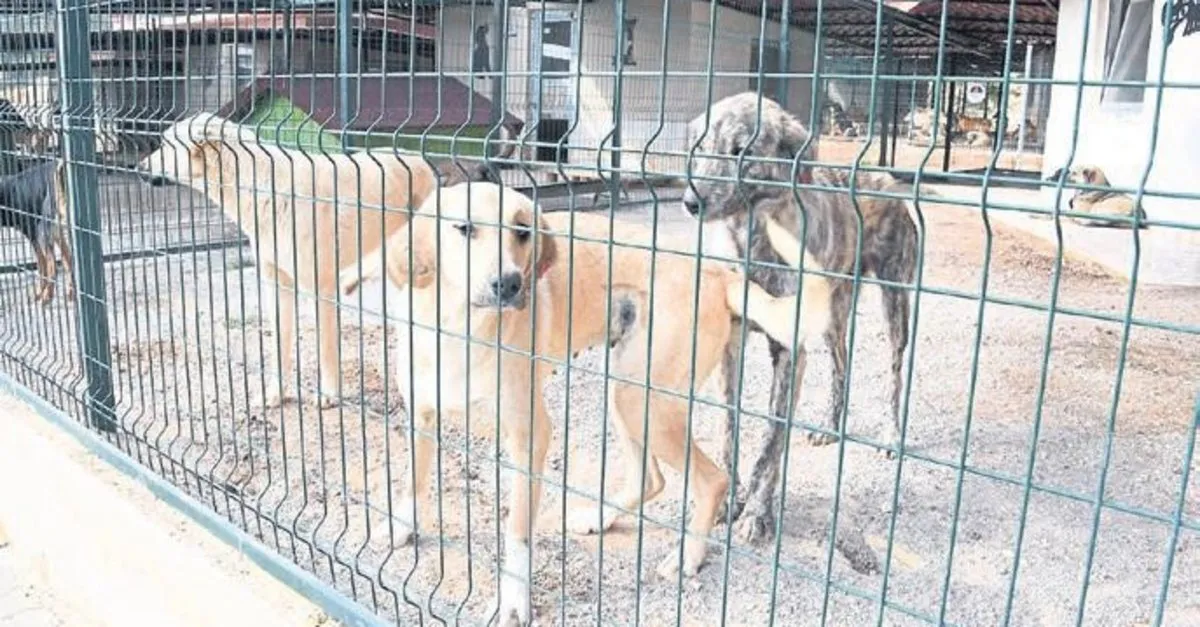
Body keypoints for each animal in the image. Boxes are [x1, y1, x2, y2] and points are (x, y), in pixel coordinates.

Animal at [0, 158, 73, 305]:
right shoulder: (52, 233)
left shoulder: (34, 234)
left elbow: (42, 266)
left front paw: (39, 292)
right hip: (54, 231)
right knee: (68, 259)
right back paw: (70, 293)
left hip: (43, 231)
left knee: (53, 266)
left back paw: (47, 296)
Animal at [133, 111, 441, 405]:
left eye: (166, 145)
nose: (138, 168)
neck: (259, 188)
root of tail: (422, 160)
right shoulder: (276, 284)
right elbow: (279, 345)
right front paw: (275, 394)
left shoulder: (321, 289)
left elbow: (326, 349)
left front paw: (329, 394)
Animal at [333, 180, 830, 624]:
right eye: (463, 229)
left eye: (522, 231)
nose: (509, 284)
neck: (459, 329)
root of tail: (719, 271)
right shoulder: (421, 414)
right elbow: (413, 482)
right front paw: (401, 527)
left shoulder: (530, 437)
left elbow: (517, 531)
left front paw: (513, 599)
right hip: (627, 392)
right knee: (650, 478)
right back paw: (600, 518)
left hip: (642, 399)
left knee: (712, 479)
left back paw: (687, 557)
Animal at [686, 90, 916, 542]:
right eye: (701, 147)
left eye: (741, 151)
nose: (690, 202)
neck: (753, 239)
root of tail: (884, 176)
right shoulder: (730, 344)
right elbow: (729, 428)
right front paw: (729, 499)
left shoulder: (790, 352)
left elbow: (772, 441)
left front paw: (758, 513)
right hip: (834, 313)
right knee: (842, 366)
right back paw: (830, 426)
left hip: (895, 304)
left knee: (894, 376)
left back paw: (891, 435)